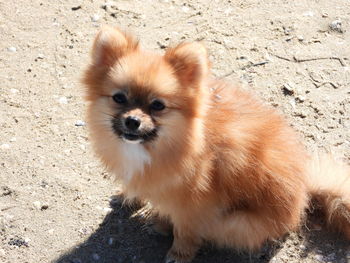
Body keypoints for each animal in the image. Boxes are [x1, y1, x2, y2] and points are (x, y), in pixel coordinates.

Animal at [82, 25, 350, 262]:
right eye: (119, 98)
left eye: (157, 105)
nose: (132, 121)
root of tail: (304, 191)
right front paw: (129, 196)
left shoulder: (196, 205)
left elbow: (186, 232)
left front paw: (179, 254)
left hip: (232, 223)